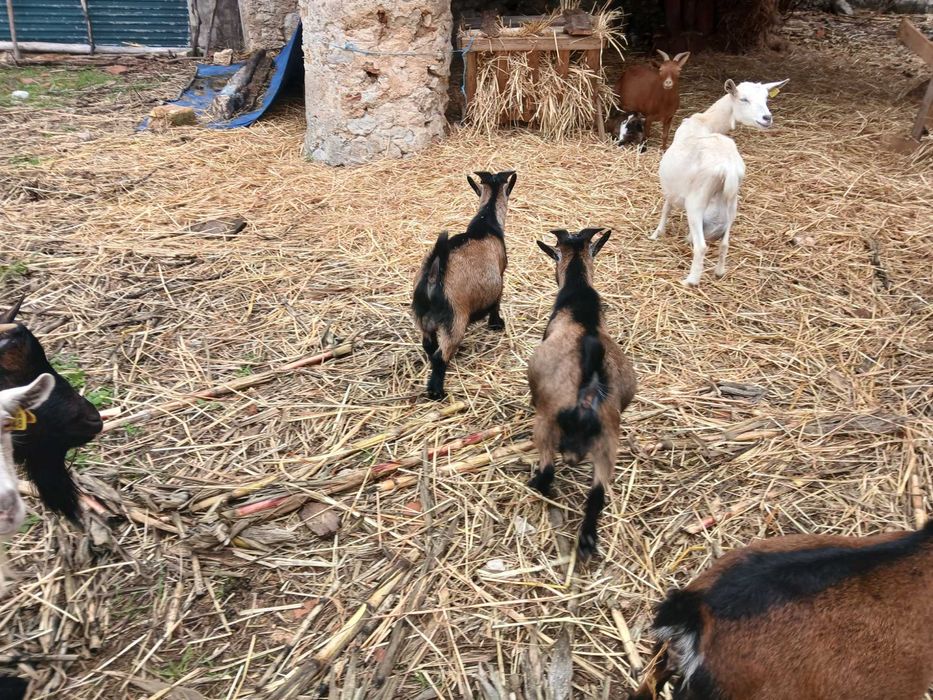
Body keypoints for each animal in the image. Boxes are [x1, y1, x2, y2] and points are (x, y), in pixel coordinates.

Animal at [412, 170, 516, 400]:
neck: (486, 222)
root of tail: (433, 275)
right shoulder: (501, 274)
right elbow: (497, 302)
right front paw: (496, 324)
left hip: (423, 319)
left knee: (429, 346)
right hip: (455, 320)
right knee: (440, 356)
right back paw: (437, 392)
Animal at [527, 229, 636, 558]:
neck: (579, 302)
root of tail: (587, 391)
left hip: (547, 428)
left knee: (548, 475)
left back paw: (534, 486)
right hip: (607, 446)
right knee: (597, 495)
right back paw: (587, 541)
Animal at [651, 78, 788, 286]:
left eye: (766, 99)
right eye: (744, 99)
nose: (767, 118)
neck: (705, 122)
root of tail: (728, 168)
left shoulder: (673, 188)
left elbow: (666, 207)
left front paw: (657, 233)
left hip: (696, 202)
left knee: (701, 247)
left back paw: (690, 281)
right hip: (732, 203)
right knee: (724, 243)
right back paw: (719, 272)